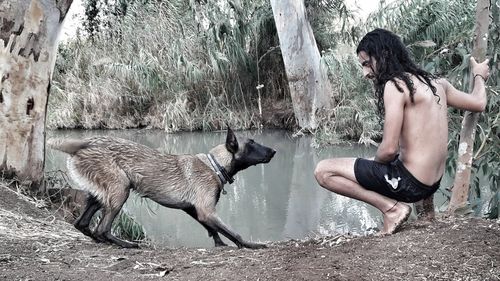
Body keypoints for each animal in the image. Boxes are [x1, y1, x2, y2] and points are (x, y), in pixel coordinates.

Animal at [48, 128, 276, 248]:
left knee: (83, 224)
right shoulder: (206, 211)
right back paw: (126, 244)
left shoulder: (195, 210)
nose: (273, 151)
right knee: (102, 228)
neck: (214, 164)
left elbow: (212, 229)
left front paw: (219, 244)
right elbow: (232, 232)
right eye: (252, 143)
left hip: (102, 194)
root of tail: (85, 142)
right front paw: (251, 245)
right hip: (120, 190)